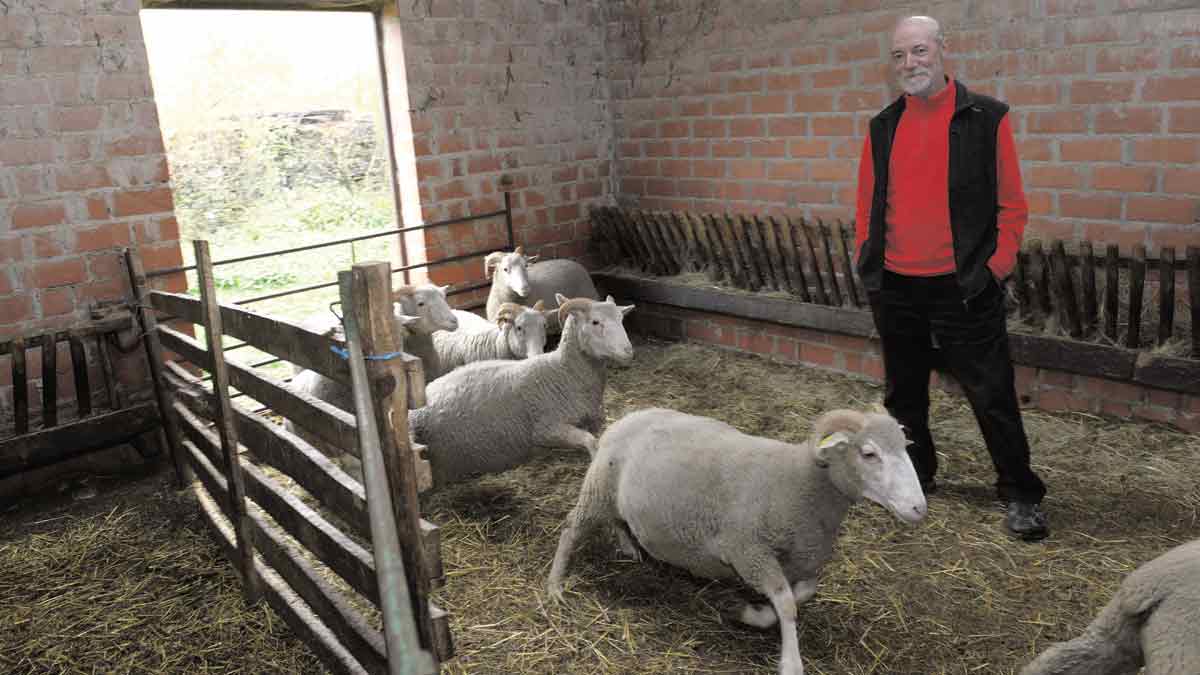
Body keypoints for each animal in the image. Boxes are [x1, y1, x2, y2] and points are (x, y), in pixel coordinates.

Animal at [410, 291, 638, 485]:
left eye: (621, 319)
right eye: (595, 322)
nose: (628, 351)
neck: (563, 373)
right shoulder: (545, 429)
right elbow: (590, 441)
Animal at [544, 403, 926, 672]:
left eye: (905, 447)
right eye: (869, 453)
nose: (919, 508)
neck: (800, 482)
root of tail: (624, 419)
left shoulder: (799, 559)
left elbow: (801, 594)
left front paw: (751, 614)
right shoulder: (748, 551)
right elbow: (786, 604)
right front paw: (790, 661)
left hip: (615, 498)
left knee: (620, 521)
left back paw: (629, 547)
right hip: (597, 490)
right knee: (570, 529)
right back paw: (555, 586)